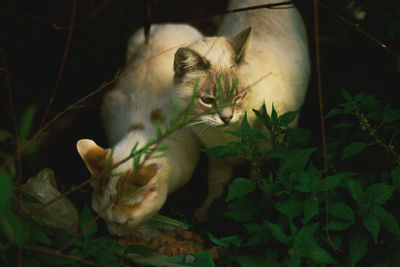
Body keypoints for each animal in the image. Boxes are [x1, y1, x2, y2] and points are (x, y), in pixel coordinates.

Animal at [76, 24, 203, 236]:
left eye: (124, 222)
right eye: (99, 216)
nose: (112, 233)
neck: (144, 134)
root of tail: (172, 24)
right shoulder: (111, 107)